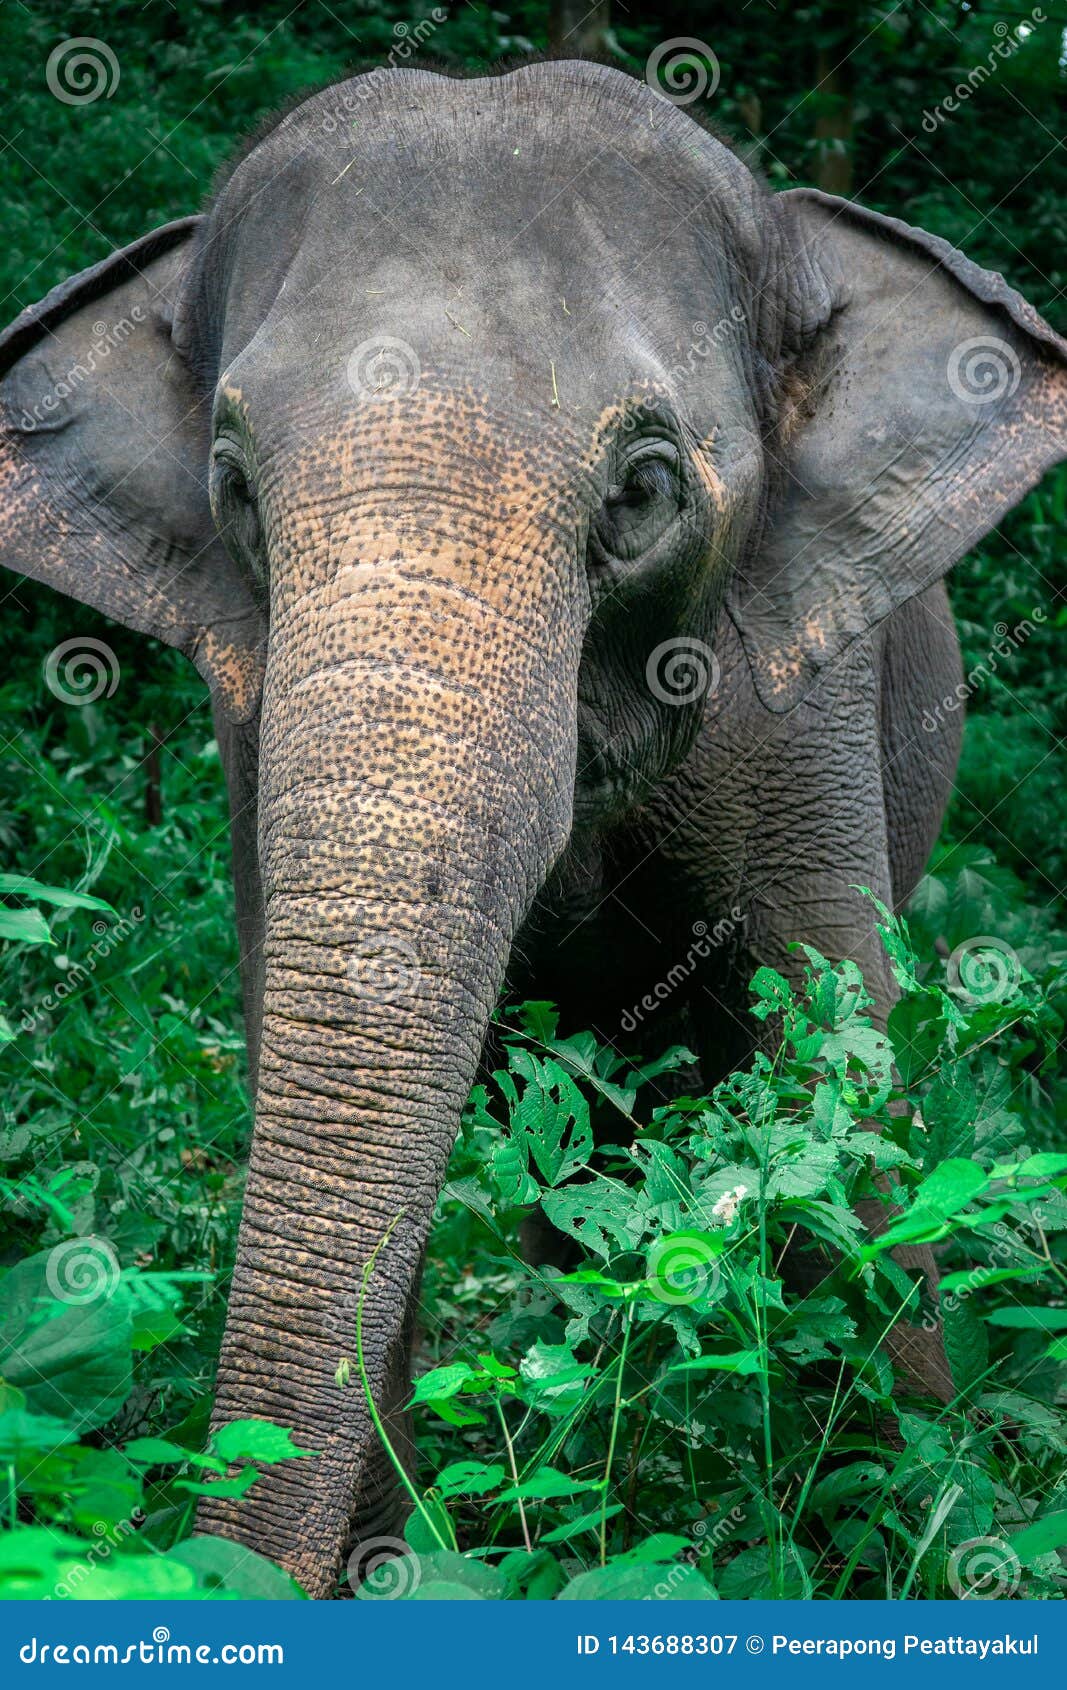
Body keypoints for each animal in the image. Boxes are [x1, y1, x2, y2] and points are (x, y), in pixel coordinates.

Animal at [2, 60, 1064, 1597]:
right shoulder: (247, 709)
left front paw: (918, 1538)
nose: (215, 1572)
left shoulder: (800, 691)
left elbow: (832, 1050)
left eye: (641, 490)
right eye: (233, 493)